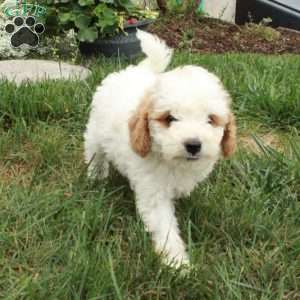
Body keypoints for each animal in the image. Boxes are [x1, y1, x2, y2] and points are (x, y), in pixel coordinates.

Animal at [83, 30, 236, 268]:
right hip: (96, 132)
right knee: (95, 152)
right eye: (169, 118)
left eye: (211, 119)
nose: (193, 144)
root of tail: (136, 70)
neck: (172, 161)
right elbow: (165, 226)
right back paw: (96, 177)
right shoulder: (154, 193)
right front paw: (177, 262)